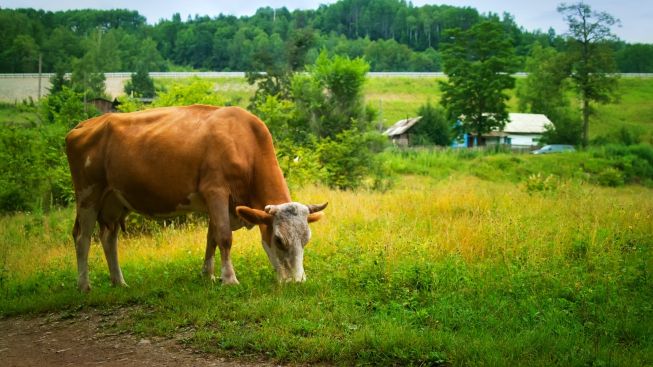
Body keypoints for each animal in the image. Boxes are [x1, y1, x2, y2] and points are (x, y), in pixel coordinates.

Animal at [66, 104, 326, 294]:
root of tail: (82, 125)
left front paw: (208, 275)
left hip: (114, 200)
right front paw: (230, 279)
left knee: (109, 238)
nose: (297, 281)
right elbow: (224, 237)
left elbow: (211, 238)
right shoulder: (216, 190)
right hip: (88, 194)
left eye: (306, 240)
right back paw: (84, 285)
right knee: (82, 237)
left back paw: (119, 282)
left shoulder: (219, 203)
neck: (243, 142)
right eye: (279, 240)